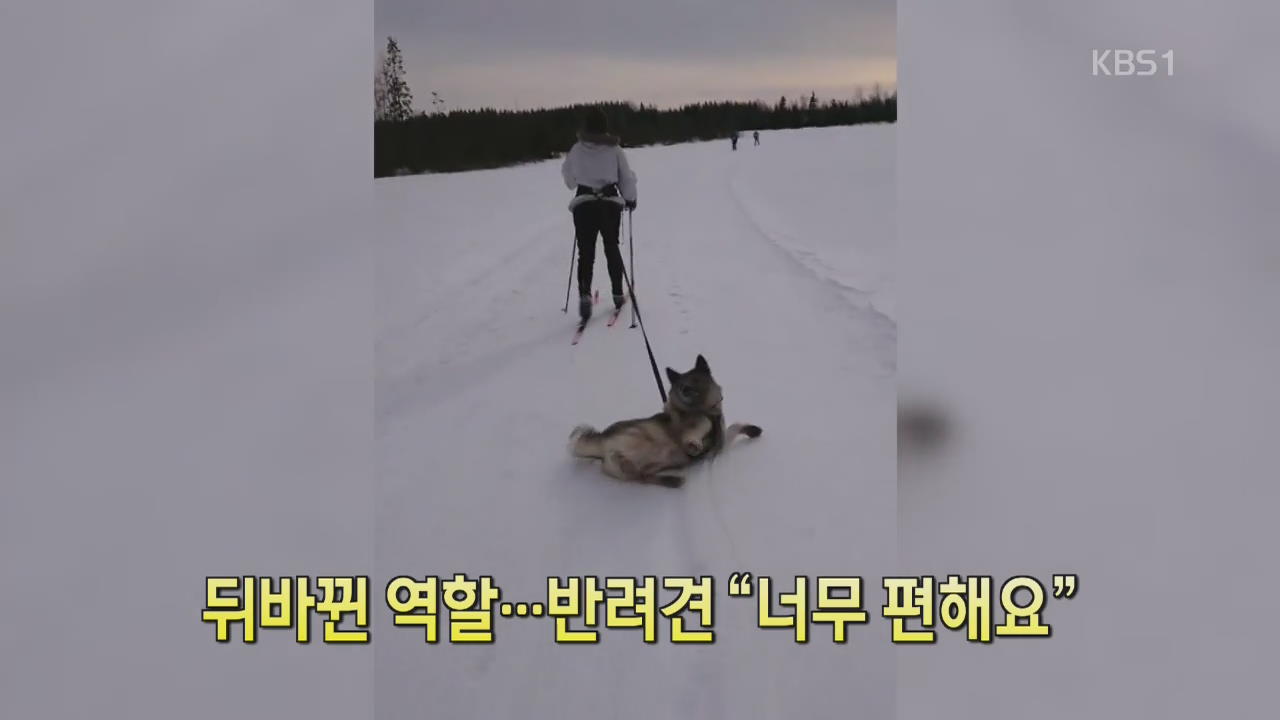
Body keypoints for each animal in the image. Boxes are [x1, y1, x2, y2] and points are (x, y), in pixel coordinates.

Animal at [568, 353, 757, 486]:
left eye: (695, 380)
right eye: (682, 386)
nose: (685, 390)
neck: (704, 409)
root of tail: (601, 445)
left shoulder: (720, 445)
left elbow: (732, 427)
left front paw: (752, 430)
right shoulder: (694, 424)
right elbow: (704, 423)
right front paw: (693, 443)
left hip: (641, 468)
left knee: (643, 476)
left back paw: (671, 480)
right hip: (639, 435)